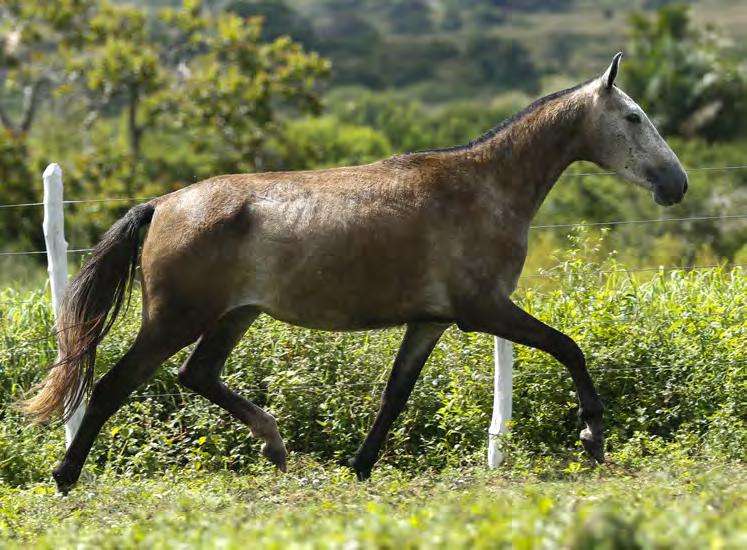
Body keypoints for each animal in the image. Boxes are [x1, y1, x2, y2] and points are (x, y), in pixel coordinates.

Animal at [23, 51, 688, 494]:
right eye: (633, 117)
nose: (675, 184)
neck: (482, 189)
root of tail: (163, 203)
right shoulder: (485, 311)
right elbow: (569, 347)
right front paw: (593, 438)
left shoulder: (432, 320)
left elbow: (395, 395)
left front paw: (359, 468)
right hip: (174, 318)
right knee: (112, 386)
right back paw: (64, 476)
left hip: (233, 316)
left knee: (197, 375)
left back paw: (275, 444)